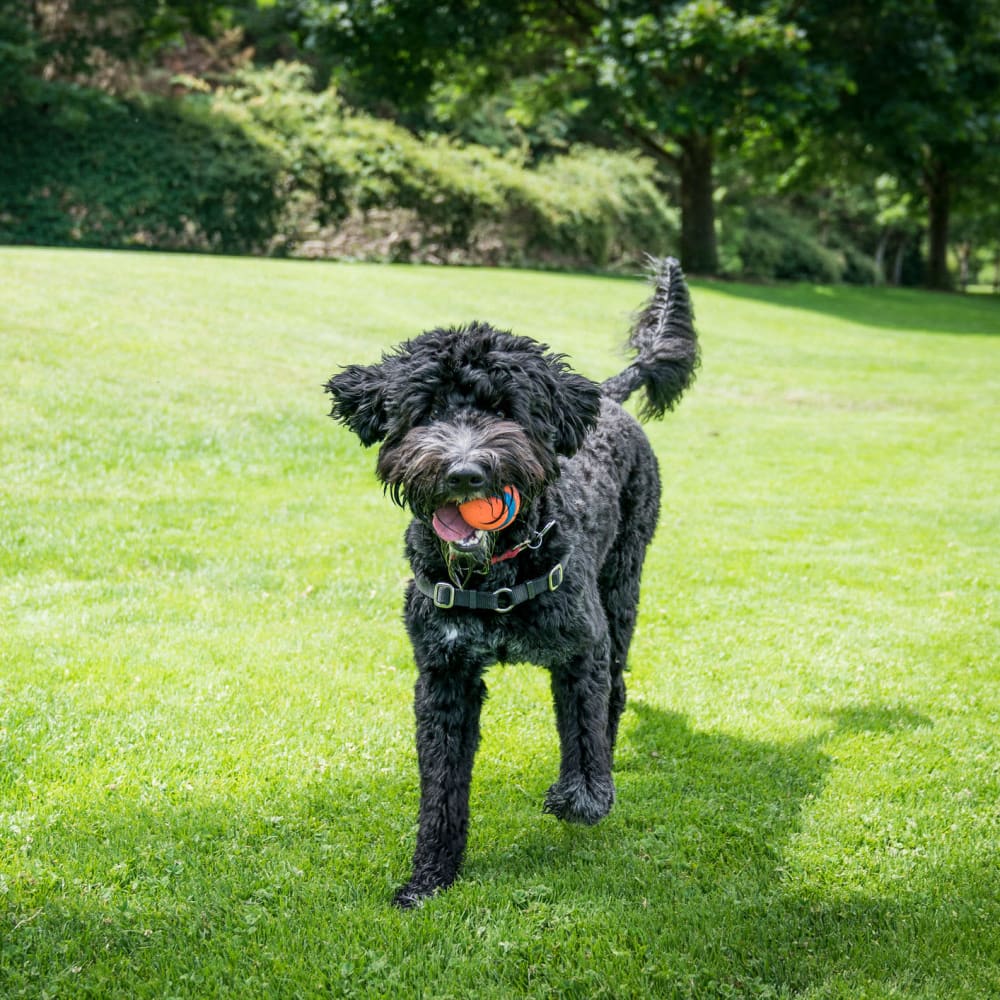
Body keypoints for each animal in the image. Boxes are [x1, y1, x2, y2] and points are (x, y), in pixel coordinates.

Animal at [326, 258, 696, 908]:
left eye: (505, 410)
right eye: (427, 411)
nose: (465, 471)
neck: (496, 571)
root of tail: (606, 396)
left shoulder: (582, 649)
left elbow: (584, 734)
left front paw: (580, 796)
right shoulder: (444, 677)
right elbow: (441, 789)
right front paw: (430, 876)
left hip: (623, 587)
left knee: (615, 691)